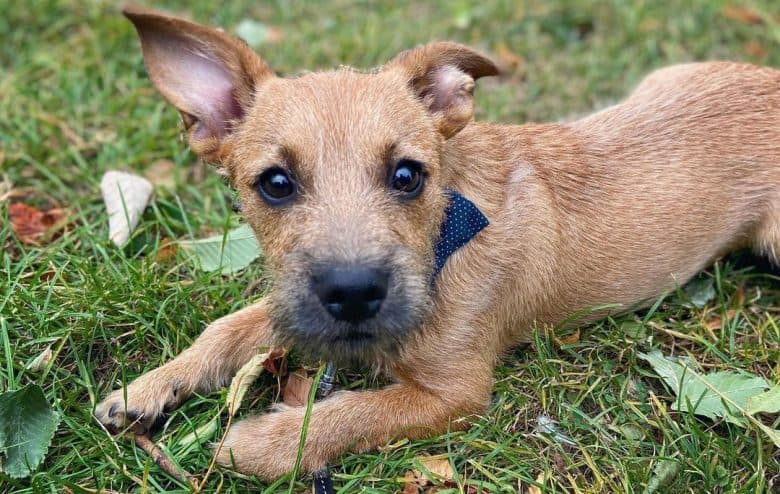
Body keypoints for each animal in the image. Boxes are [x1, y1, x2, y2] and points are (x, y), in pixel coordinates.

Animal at [97, 3, 780, 480]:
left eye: (407, 175)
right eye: (275, 184)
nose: (354, 293)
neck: (449, 236)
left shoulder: (453, 393)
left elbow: (356, 412)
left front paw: (271, 442)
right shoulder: (300, 304)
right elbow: (227, 328)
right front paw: (149, 387)